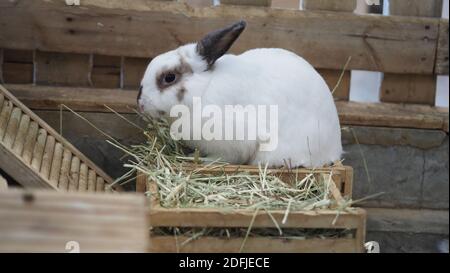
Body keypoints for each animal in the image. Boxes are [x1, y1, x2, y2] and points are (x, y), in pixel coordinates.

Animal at [137, 20, 342, 168]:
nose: (140, 103)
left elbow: (226, 157)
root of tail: (334, 149)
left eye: (169, 77)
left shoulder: (236, 140)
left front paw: (203, 160)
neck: (203, 90)